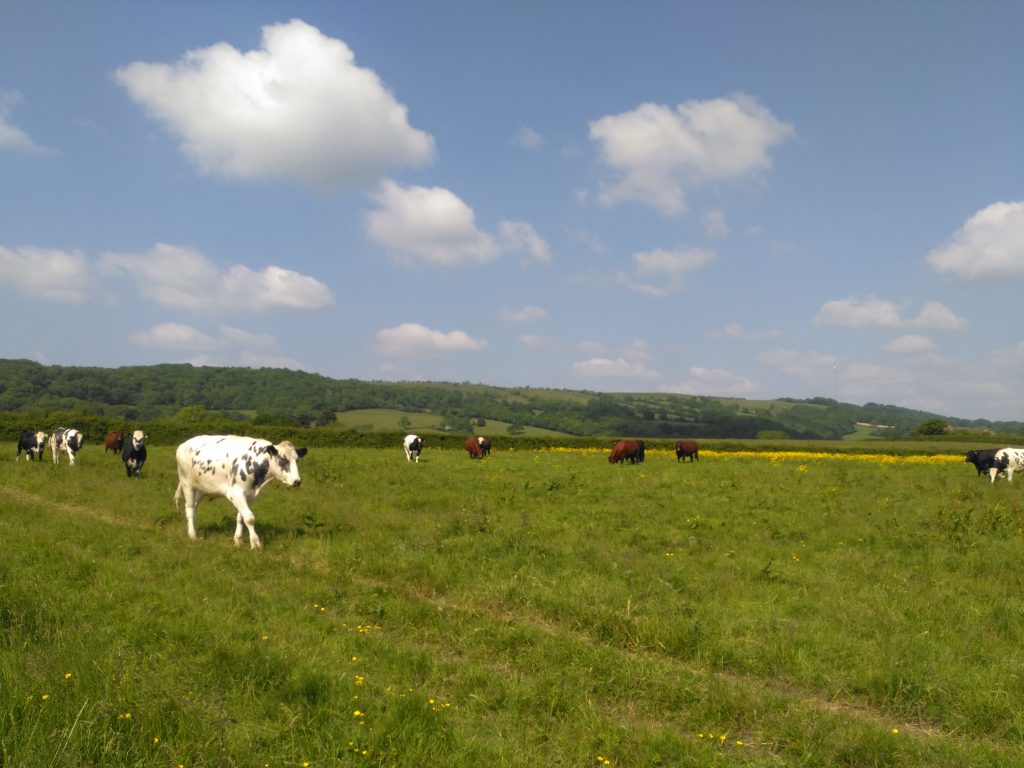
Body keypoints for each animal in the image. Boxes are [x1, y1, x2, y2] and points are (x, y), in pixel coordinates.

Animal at [174, 436, 307, 548]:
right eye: (283, 459)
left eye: (297, 459)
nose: (297, 481)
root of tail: (184, 444)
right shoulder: (236, 493)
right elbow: (249, 518)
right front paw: (255, 543)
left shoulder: (251, 495)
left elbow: (241, 517)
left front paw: (238, 540)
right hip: (187, 483)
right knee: (190, 509)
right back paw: (192, 535)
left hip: (201, 489)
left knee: (193, 506)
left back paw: (190, 528)